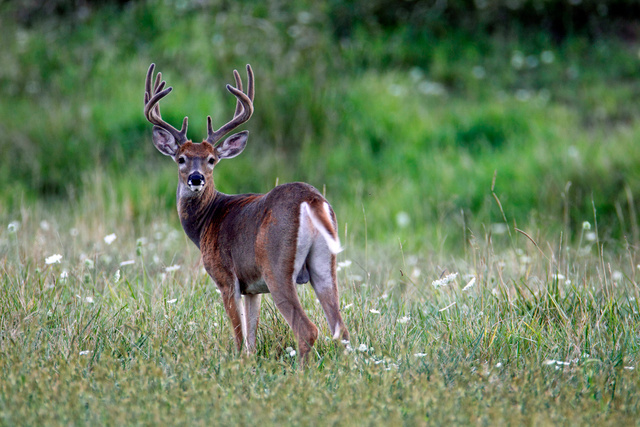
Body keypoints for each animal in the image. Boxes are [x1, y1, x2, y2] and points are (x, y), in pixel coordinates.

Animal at [143, 63, 349, 362]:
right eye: (181, 158)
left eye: (211, 159)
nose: (196, 178)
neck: (206, 221)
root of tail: (311, 201)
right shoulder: (253, 288)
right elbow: (252, 336)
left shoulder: (226, 277)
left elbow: (240, 337)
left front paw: (237, 364)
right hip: (324, 264)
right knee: (341, 329)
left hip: (277, 265)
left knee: (308, 329)